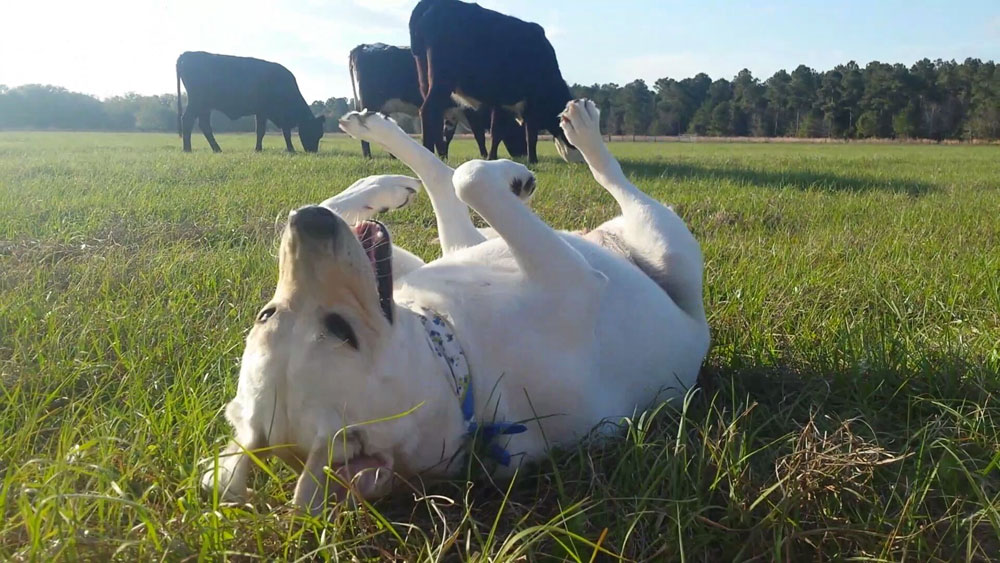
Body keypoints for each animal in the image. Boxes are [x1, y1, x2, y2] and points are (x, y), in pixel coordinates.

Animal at [176, 50, 324, 151]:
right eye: (314, 131)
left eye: (320, 135)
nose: (313, 151)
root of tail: (187, 54)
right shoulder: (266, 113)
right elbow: (266, 131)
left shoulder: (263, 113)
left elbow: (271, 132)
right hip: (197, 102)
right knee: (188, 120)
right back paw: (188, 149)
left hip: (205, 107)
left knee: (204, 125)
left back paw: (216, 149)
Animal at [199, 100, 708, 516]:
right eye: (343, 331)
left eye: (264, 314)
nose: (307, 221)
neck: (455, 352)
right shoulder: (574, 278)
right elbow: (470, 178)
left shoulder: (404, 268)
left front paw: (369, 191)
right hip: (667, 243)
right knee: (599, 179)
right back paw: (575, 138)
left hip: (462, 244)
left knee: (443, 185)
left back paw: (381, 150)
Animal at [350, 42, 528, 159]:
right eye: (519, 131)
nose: (523, 155)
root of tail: (364, 46)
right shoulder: (470, 112)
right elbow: (479, 136)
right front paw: (484, 156)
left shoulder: (452, 115)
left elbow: (446, 136)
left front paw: (444, 156)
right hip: (369, 104)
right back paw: (368, 157)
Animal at [410, 0, 584, 163]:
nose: (582, 160)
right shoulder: (531, 101)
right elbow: (531, 133)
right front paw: (532, 160)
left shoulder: (501, 103)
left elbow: (497, 132)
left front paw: (492, 158)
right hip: (442, 79)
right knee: (428, 110)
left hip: (424, 79)